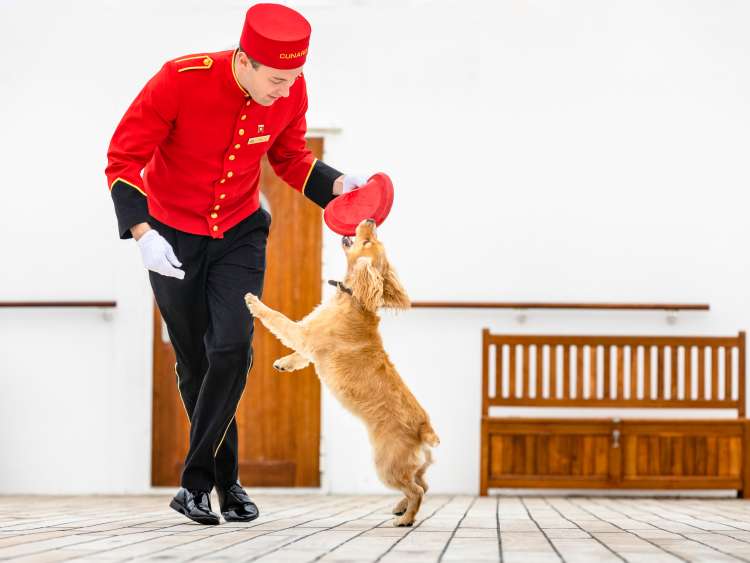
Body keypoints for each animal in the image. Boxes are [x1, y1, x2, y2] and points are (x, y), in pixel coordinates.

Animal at [244, 218, 440, 528]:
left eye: (369, 242)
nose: (370, 220)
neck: (353, 298)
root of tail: (424, 429)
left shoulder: (303, 334)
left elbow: (278, 319)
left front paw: (254, 302)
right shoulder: (309, 342)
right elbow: (299, 356)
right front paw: (284, 363)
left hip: (387, 465)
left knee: (417, 490)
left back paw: (405, 518)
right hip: (413, 466)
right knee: (423, 484)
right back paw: (400, 507)